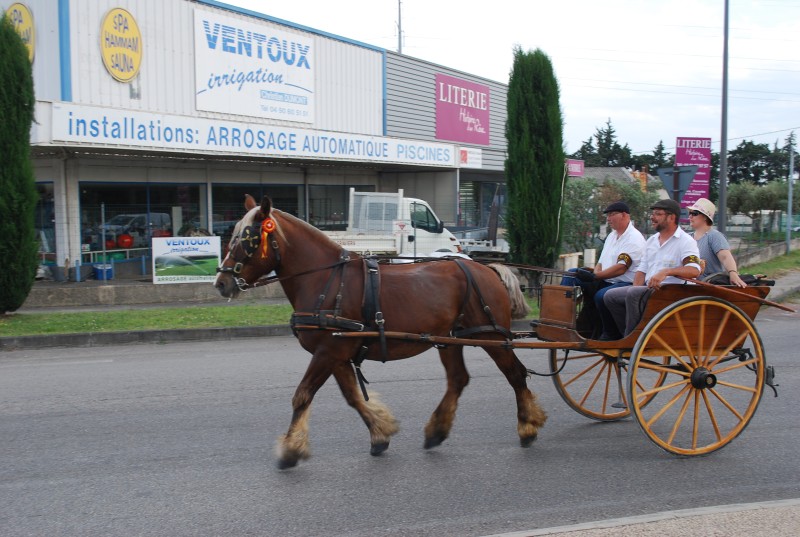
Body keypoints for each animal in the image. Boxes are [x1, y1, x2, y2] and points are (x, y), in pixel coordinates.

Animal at [216, 195, 548, 466]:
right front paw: (380, 434)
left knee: (515, 375)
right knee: (458, 379)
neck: (326, 279)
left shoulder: (328, 352)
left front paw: (290, 450)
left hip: (491, 337)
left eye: (246, 238)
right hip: (450, 340)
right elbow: (353, 397)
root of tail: (487, 268)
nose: (221, 283)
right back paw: (437, 431)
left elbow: (302, 396)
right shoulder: (338, 353)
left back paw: (527, 426)